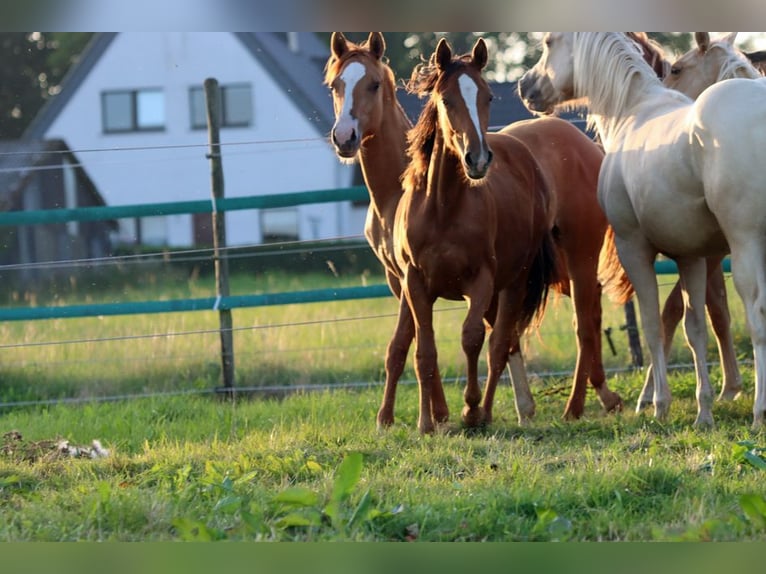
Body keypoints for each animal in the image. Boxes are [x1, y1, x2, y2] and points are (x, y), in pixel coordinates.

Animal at [396, 37, 560, 434]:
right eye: (446, 100)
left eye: (487, 96)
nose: (478, 159)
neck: (442, 208)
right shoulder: (415, 282)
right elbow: (424, 350)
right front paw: (427, 423)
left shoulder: (482, 280)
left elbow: (472, 339)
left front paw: (469, 409)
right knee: (506, 341)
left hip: (513, 283)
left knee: (500, 344)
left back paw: (485, 413)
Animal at [518, 32, 766, 428]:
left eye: (548, 42)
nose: (526, 86)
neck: (634, 110)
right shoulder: (691, 257)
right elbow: (694, 328)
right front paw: (704, 411)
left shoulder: (633, 249)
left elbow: (652, 325)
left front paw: (658, 404)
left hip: (746, 246)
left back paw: (759, 412)